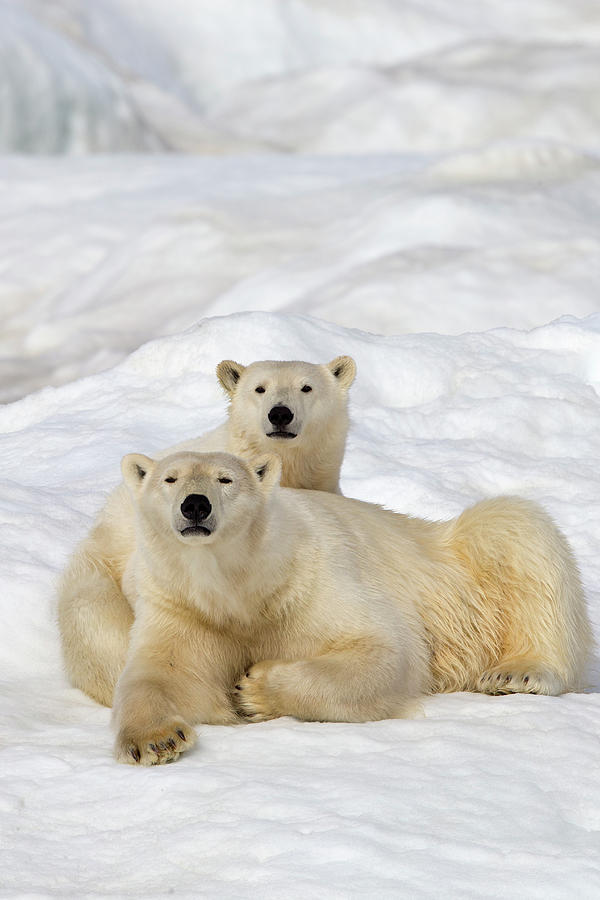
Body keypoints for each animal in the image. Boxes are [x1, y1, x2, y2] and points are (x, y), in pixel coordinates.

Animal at [109, 450, 592, 768]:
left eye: (226, 479)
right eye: (170, 479)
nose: (196, 504)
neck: (244, 590)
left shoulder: (313, 579)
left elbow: (385, 650)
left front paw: (255, 689)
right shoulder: (183, 609)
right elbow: (163, 674)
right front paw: (156, 741)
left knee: (515, 528)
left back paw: (517, 672)